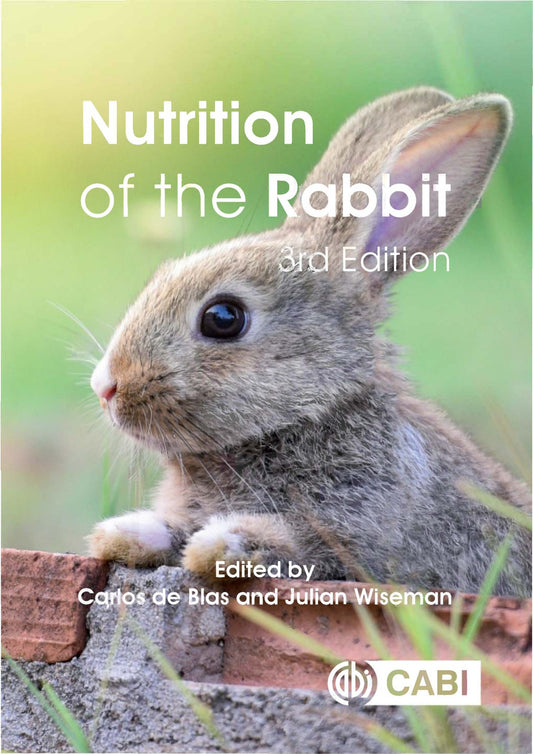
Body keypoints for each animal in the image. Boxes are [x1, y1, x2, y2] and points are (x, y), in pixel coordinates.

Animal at [88, 86, 531, 597]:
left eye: (223, 318)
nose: (105, 386)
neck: (306, 416)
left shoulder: (356, 532)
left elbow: (294, 543)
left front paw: (222, 544)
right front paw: (124, 533)